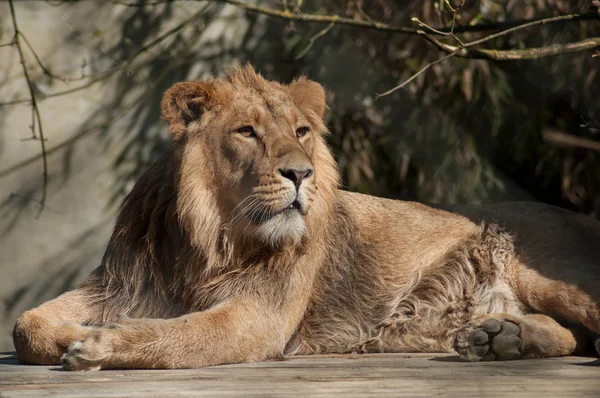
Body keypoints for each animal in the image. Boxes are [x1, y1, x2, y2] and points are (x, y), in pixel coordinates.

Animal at [11, 64, 600, 370]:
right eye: (247, 132)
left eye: (301, 132)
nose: (299, 174)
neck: (207, 239)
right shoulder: (115, 286)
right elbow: (24, 327)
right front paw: (68, 333)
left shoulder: (260, 317)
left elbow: (178, 336)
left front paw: (99, 344)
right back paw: (501, 337)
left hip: (542, 272)